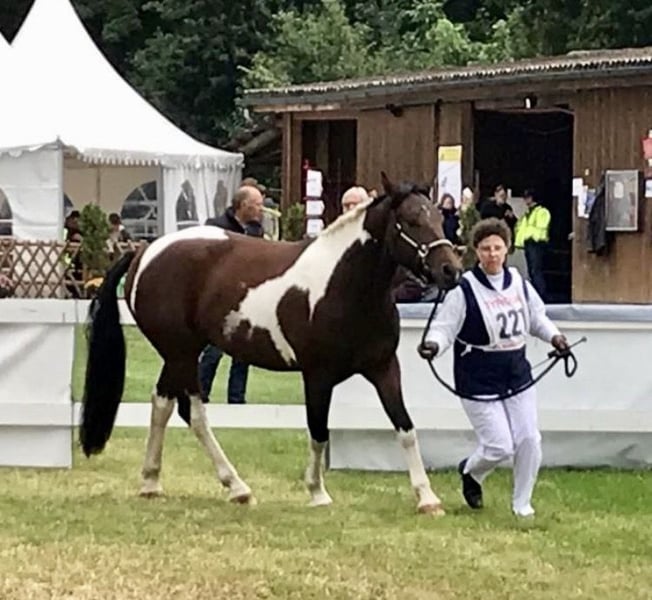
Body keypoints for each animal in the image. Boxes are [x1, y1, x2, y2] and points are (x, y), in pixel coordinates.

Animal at [80, 172, 463, 514]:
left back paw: (152, 482)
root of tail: (146, 251)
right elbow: (318, 430)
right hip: (181, 353)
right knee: (193, 412)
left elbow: (405, 427)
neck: (344, 285)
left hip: (178, 355)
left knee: (163, 403)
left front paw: (427, 498)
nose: (451, 271)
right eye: (410, 221)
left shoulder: (384, 368)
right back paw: (236, 487)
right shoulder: (318, 375)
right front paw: (317, 492)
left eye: (438, 218)